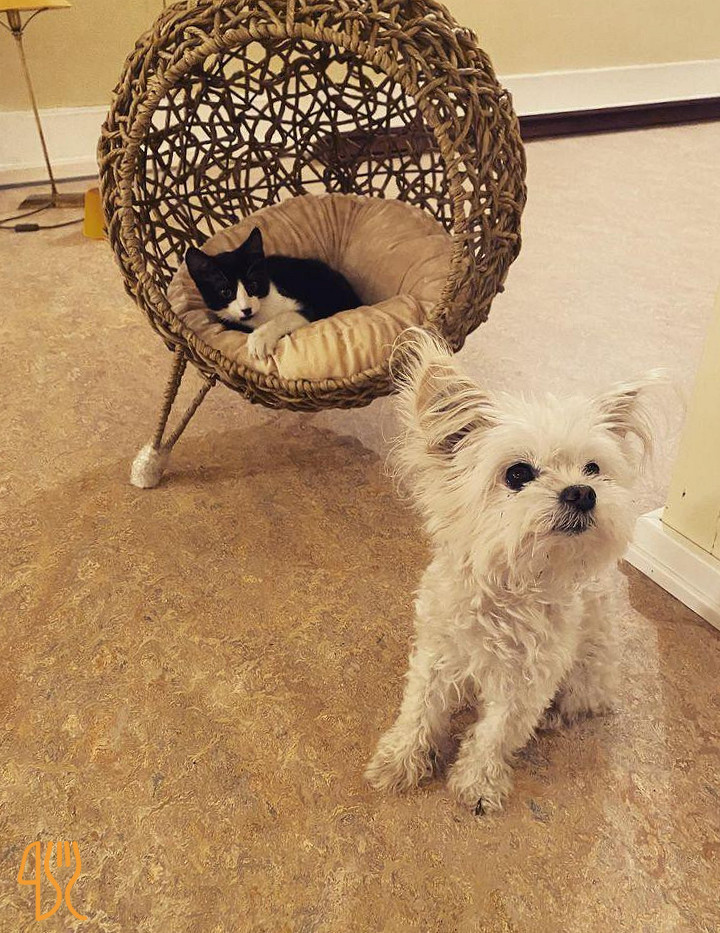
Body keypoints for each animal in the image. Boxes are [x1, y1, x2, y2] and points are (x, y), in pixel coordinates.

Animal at [185, 227, 361, 360]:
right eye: (226, 292)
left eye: (253, 285)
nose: (246, 309)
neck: (259, 315)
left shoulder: (304, 307)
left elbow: (287, 315)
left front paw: (259, 339)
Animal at [365, 329, 658, 814]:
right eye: (518, 474)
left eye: (593, 468)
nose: (583, 492)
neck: (508, 585)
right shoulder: (435, 656)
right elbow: (419, 711)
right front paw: (399, 761)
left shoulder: (526, 684)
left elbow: (494, 734)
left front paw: (477, 783)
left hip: (587, 671)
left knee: (582, 700)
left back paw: (560, 715)